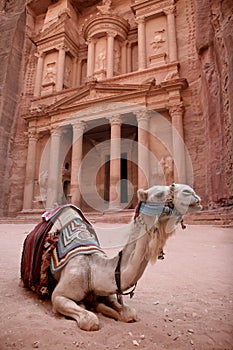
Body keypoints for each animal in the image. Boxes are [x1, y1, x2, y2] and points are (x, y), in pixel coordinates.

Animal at [20, 183, 201, 330]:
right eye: (158, 194)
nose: (191, 193)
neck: (92, 269)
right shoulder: (59, 295)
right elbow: (90, 321)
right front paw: (85, 306)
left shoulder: (106, 290)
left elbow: (128, 313)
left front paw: (99, 306)